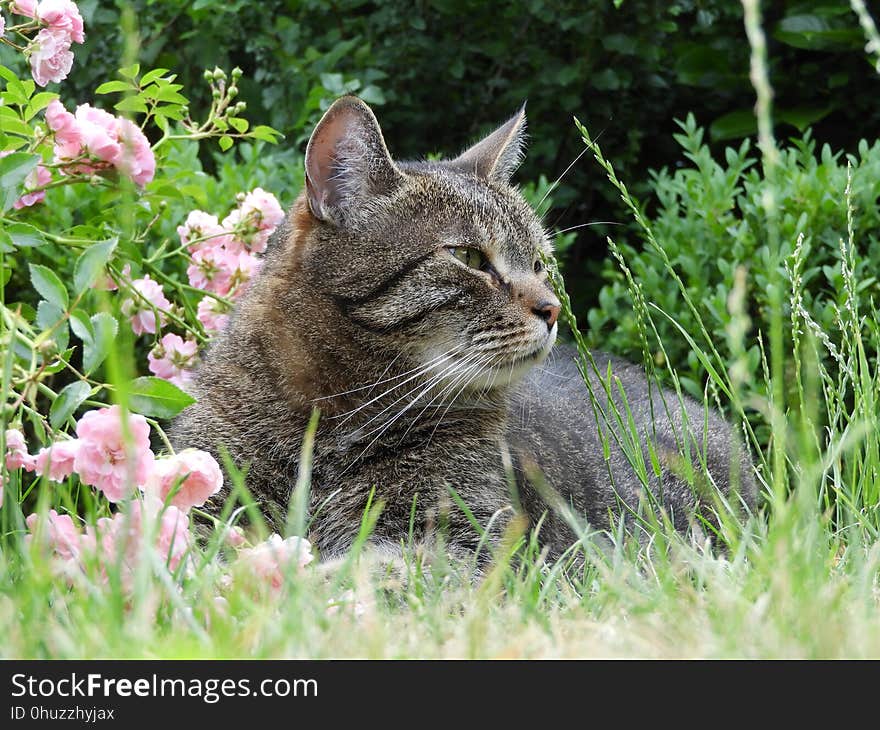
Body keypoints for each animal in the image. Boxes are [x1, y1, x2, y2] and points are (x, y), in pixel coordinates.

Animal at [172, 95, 756, 556]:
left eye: (540, 263)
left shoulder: (451, 540)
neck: (329, 414)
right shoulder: (202, 501)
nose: (553, 309)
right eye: (470, 257)